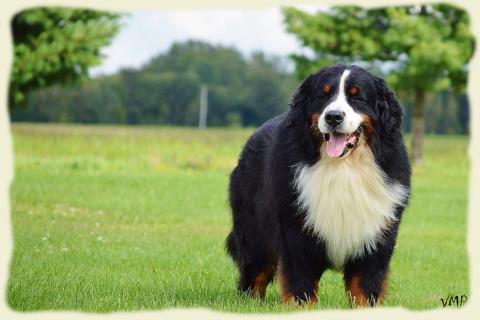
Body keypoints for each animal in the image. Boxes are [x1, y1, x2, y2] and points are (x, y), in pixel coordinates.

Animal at [227, 63, 410, 306]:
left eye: (357, 96)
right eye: (323, 95)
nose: (333, 116)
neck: (343, 169)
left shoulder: (375, 238)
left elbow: (366, 286)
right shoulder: (295, 232)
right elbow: (300, 283)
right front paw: (300, 307)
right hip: (255, 233)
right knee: (255, 273)